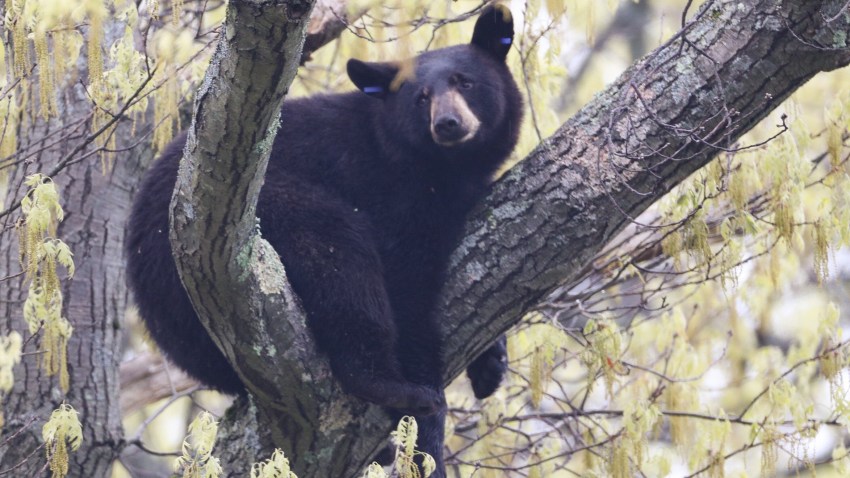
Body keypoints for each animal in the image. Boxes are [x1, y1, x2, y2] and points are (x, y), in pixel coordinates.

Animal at [126, 3, 520, 474]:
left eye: (466, 82)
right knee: (340, 258)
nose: (447, 123)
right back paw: (390, 386)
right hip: (272, 207)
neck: (442, 170)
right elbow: (409, 292)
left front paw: (491, 362)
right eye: (420, 98)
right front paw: (429, 431)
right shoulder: (395, 198)